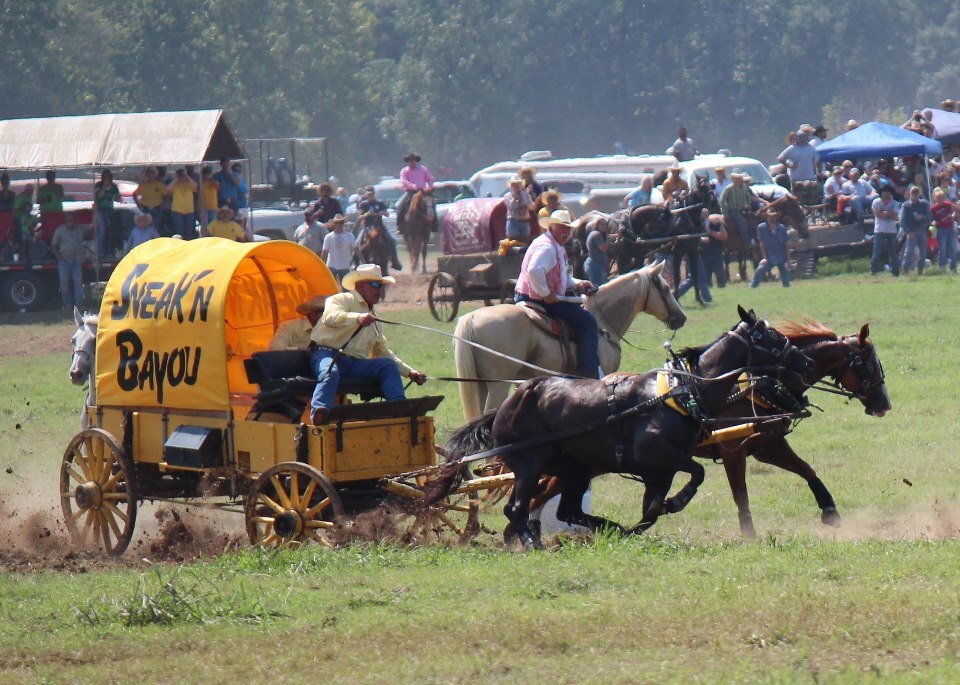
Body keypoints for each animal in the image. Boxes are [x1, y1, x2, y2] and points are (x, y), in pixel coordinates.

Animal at [432, 308, 812, 548]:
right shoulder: (656, 456)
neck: (684, 392)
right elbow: (696, 474)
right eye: (771, 337)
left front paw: (648, 517)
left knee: (567, 509)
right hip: (530, 464)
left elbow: (652, 509)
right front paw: (676, 503)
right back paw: (531, 540)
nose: (806, 360)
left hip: (574, 469)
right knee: (519, 507)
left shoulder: (660, 471)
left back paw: (605, 528)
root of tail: (503, 408)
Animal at [456, 262, 688, 420]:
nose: (682, 318)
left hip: (479, 384)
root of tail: (471, 318)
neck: (602, 320)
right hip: (497, 385)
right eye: (665, 289)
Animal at [696, 320, 892, 540]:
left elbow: (806, 469)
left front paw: (829, 509)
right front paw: (749, 535)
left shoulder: (768, 446)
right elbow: (741, 496)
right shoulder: (733, 451)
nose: (886, 404)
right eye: (869, 364)